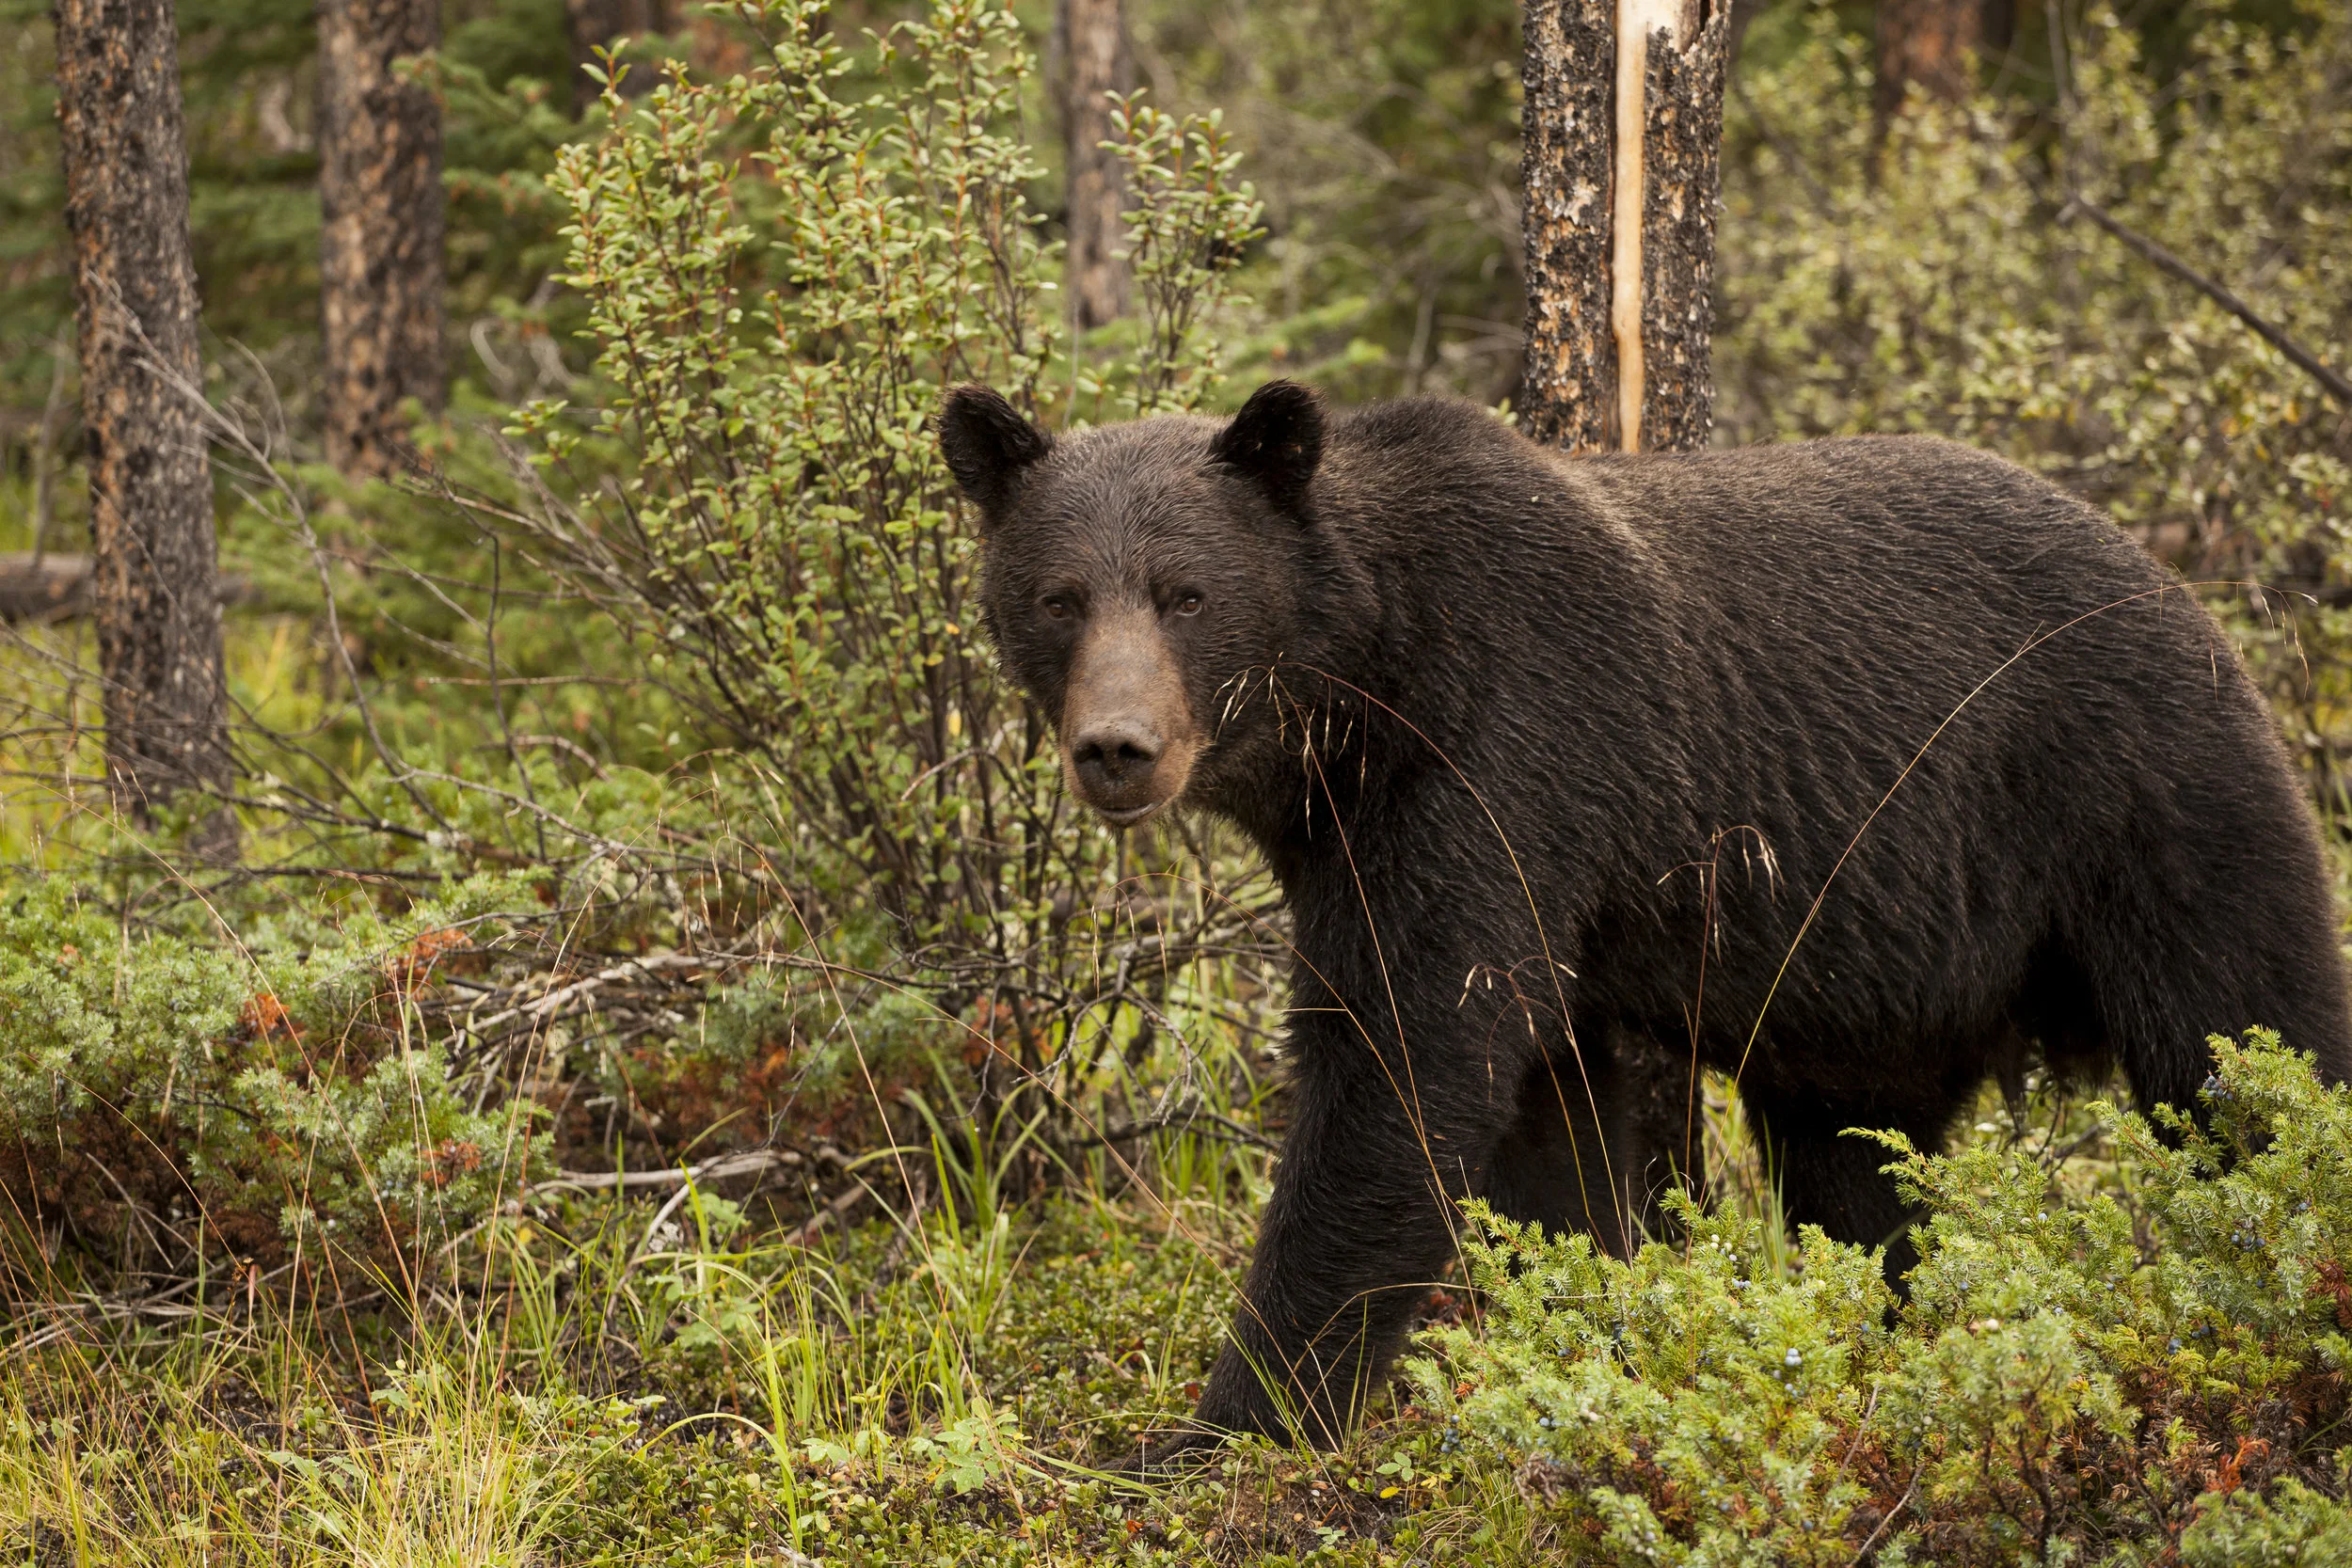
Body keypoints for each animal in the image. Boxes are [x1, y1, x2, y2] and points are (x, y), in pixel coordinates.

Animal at [935, 379, 2352, 1453]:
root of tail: (2182, 589)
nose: (1119, 747)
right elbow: (1543, 1118)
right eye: (1059, 596)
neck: (1362, 697)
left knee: (2250, 1032)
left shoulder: (1505, 755)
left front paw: (1222, 1424)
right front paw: (1587, 1332)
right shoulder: (1447, 851)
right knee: (1856, 1170)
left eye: (1187, 592)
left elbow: (1400, 1070)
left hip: (2143, 799)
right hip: (1872, 994)